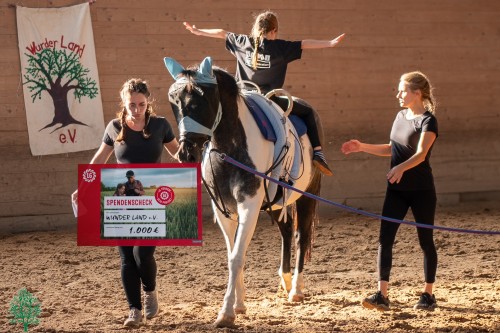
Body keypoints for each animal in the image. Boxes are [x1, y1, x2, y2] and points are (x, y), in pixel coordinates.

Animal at [162, 57, 322, 326]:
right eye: (174, 100)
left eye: (202, 98)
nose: (187, 153)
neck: (229, 150)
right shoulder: (224, 210)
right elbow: (232, 255)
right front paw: (238, 304)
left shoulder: (249, 204)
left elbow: (237, 256)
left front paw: (226, 313)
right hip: (277, 202)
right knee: (286, 233)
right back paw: (285, 280)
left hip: (306, 196)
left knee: (301, 235)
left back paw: (296, 290)